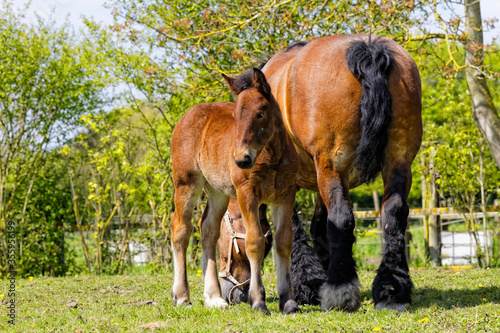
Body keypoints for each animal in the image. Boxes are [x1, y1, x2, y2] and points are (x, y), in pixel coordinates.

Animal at [170, 68, 298, 314]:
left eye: (260, 113)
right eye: (235, 116)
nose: (241, 159)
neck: (271, 157)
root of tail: (186, 116)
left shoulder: (285, 196)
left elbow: (285, 241)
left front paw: (288, 302)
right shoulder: (246, 193)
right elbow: (254, 241)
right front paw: (258, 302)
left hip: (217, 192)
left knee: (208, 230)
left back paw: (213, 298)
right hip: (186, 183)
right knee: (181, 229)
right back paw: (181, 296)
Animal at [258, 35, 422, 310]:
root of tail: (368, 49)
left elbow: (289, 230)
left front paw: (309, 284)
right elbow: (316, 227)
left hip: (333, 167)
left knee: (341, 217)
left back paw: (340, 288)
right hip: (397, 162)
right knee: (394, 213)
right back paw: (391, 290)